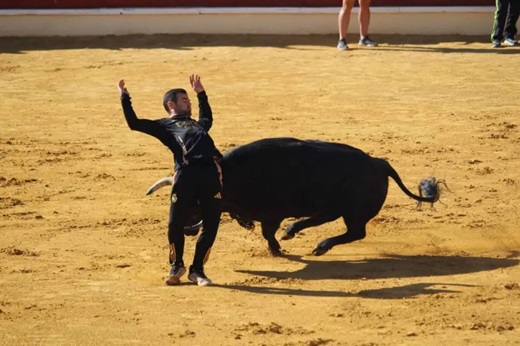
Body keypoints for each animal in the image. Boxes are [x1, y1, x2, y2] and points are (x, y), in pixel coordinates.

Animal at [146, 139, 438, 256]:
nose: (183, 225)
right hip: (337, 207)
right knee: (327, 220)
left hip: (354, 212)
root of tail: (379, 163)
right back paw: (294, 231)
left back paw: (319, 245)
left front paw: (276, 248)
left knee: (355, 232)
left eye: (194, 200)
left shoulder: (271, 213)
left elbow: (267, 232)